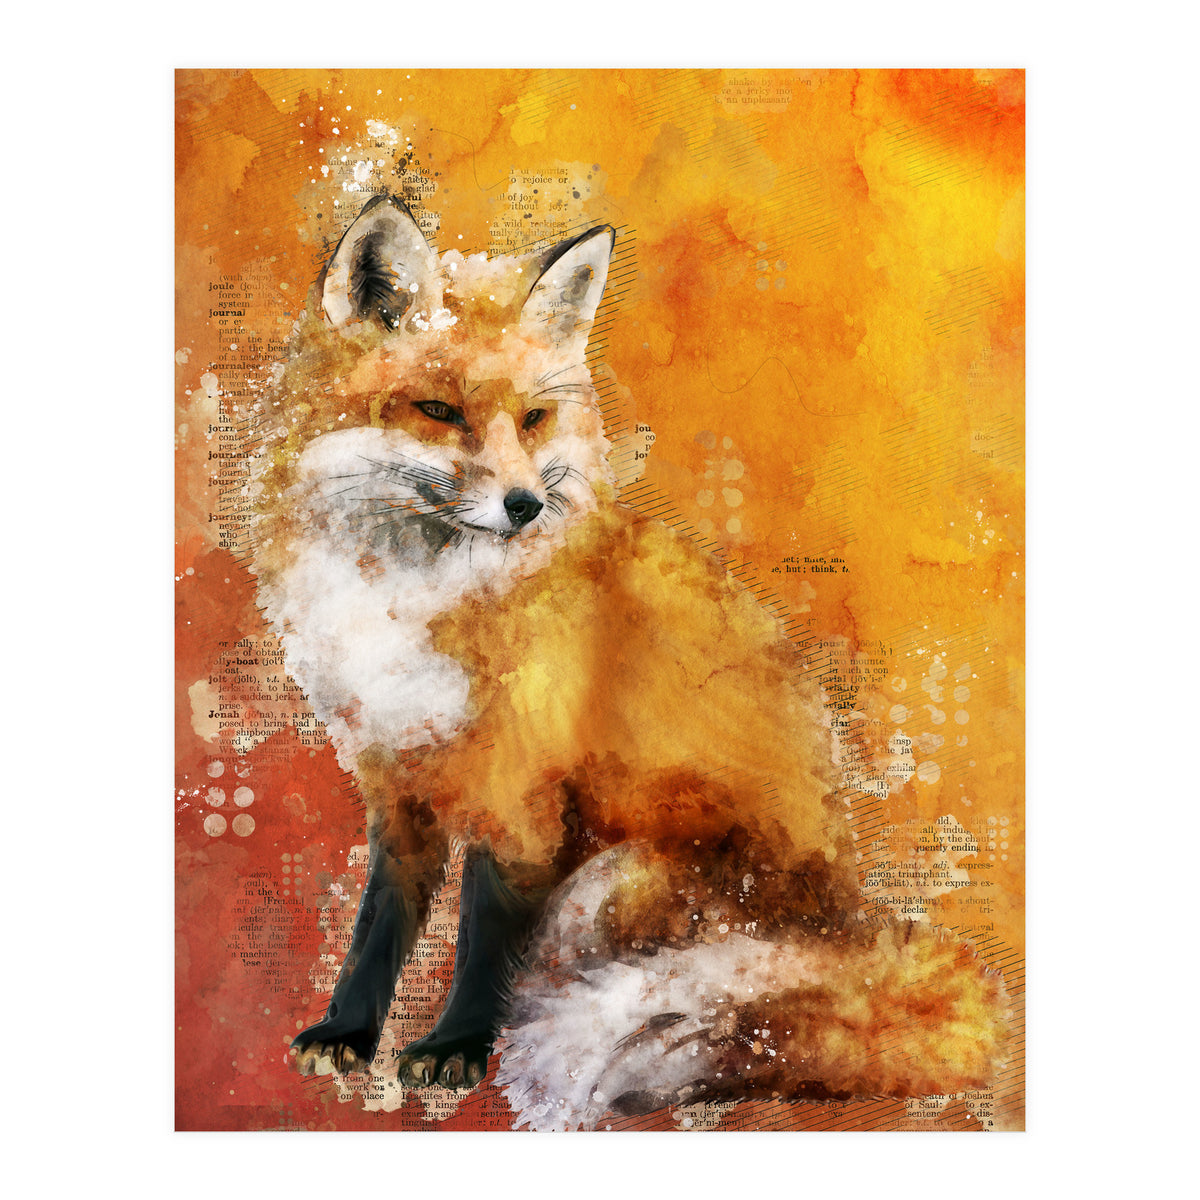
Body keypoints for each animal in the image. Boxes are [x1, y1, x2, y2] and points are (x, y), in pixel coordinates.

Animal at [250, 194, 1007, 1126]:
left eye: (534, 419)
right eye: (437, 410)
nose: (525, 505)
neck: (417, 597)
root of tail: (850, 924)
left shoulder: (525, 794)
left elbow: (483, 939)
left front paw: (456, 1046)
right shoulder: (395, 780)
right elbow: (378, 925)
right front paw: (348, 1034)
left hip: (616, 874)